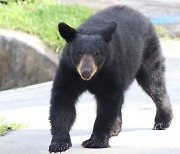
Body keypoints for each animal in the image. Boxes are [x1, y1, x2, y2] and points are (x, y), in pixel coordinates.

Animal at [48, 5, 173, 153]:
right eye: (79, 52)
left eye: (97, 53)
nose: (86, 72)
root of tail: (141, 15)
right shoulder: (69, 71)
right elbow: (63, 100)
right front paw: (59, 143)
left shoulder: (110, 69)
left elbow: (107, 103)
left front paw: (95, 141)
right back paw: (114, 128)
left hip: (148, 53)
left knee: (154, 83)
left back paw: (162, 121)